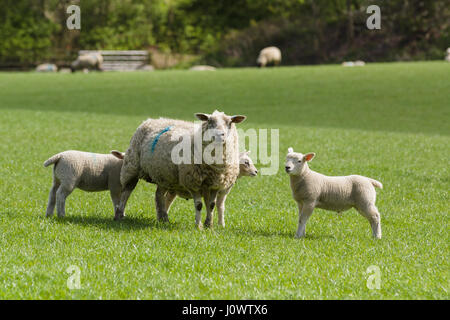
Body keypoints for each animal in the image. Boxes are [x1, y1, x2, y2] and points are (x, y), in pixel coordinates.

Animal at [117, 111, 246, 229]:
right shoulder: (192, 181)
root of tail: (152, 120)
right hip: (131, 166)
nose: (219, 135)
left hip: (164, 176)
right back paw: (120, 215)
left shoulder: (216, 184)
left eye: (230, 122)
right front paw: (198, 226)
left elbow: (211, 205)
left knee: (159, 195)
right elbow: (199, 205)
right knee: (126, 191)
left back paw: (163, 219)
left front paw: (209, 225)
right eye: (209, 121)